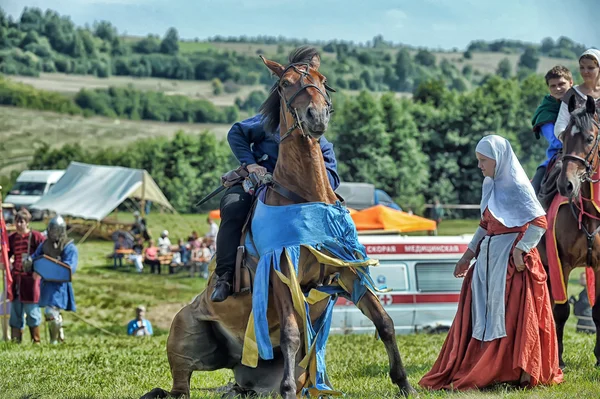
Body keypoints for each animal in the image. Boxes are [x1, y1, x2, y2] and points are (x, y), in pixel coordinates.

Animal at [138, 55, 414, 399]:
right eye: (285, 84)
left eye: (322, 80)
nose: (315, 116)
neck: (305, 198)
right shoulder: (282, 271)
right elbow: (292, 333)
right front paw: (288, 390)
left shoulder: (347, 270)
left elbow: (384, 321)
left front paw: (404, 383)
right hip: (183, 338)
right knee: (177, 388)